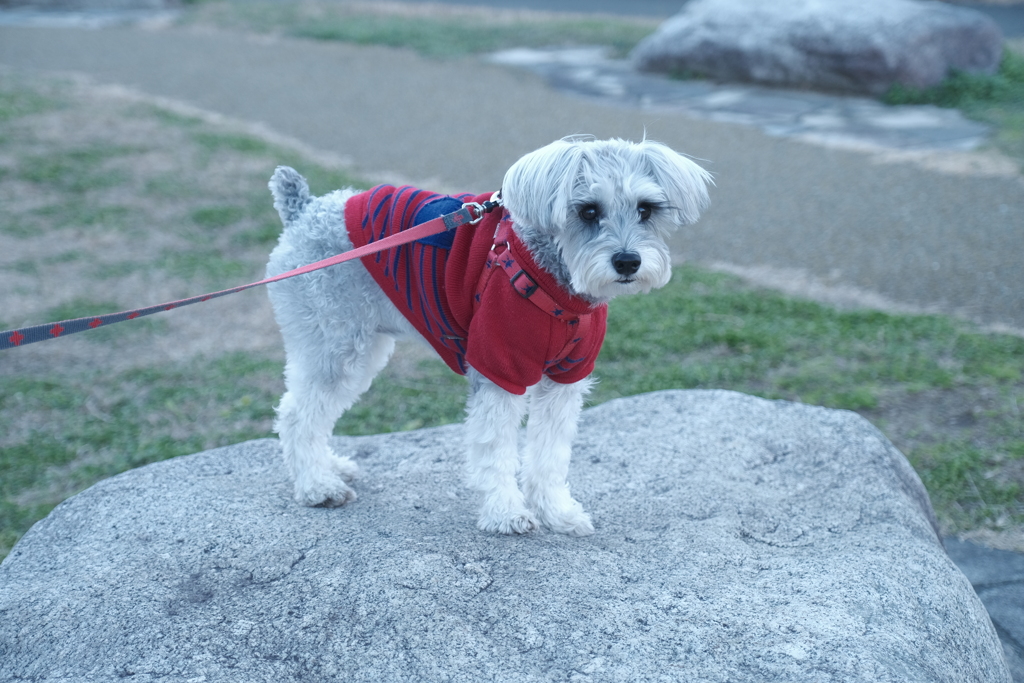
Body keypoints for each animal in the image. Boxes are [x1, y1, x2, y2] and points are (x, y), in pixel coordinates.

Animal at [266, 137, 712, 532]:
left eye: (646, 209)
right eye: (587, 211)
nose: (627, 261)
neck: (553, 282)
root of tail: (304, 210)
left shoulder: (565, 380)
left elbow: (550, 453)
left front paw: (556, 512)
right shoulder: (499, 372)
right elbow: (496, 449)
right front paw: (505, 513)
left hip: (359, 348)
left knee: (313, 412)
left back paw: (331, 467)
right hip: (337, 347)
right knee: (296, 414)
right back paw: (317, 486)